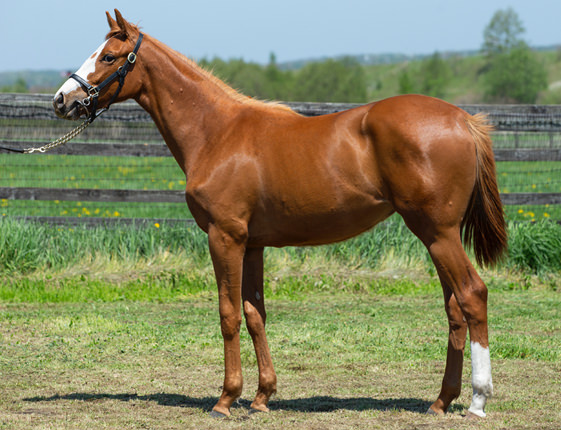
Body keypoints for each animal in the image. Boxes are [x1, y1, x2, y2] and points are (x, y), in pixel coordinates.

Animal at [54, 10, 506, 420]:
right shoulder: (253, 244)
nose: (63, 100)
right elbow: (256, 315)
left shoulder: (225, 237)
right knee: (454, 309)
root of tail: (463, 119)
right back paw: (441, 401)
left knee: (472, 295)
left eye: (109, 56)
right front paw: (261, 397)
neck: (216, 132)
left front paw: (225, 400)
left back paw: (478, 401)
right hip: (434, 236)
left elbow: (228, 314)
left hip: (438, 233)